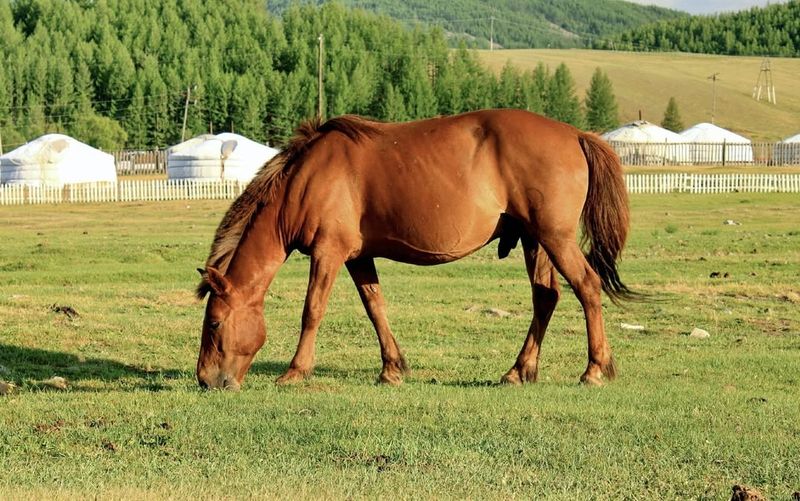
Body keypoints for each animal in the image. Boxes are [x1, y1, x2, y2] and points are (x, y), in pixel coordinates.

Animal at [194, 109, 632, 390]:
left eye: (213, 324)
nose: (205, 380)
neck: (306, 179)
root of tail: (576, 135)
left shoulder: (328, 253)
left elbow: (312, 311)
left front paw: (295, 371)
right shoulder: (358, 258)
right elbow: (375, 307)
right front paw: (392, 368)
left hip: (555, 239)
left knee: (587, 287)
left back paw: (594, 370)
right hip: (534, 240)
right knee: (546, 297)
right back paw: (518, 371)